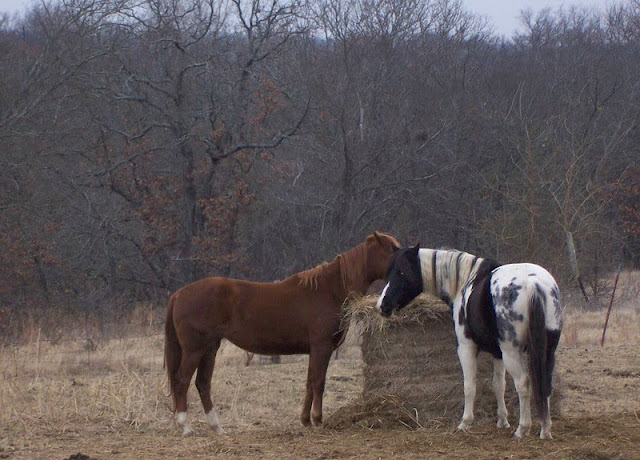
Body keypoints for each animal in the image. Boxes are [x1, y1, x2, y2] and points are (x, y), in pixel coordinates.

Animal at [164, 232, 400, 436]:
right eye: (392, 249)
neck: (329, 290)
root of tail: (179, 294)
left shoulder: (314, 350)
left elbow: (309, 381)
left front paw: (306, 420)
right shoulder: (321, 347)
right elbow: (319, 382)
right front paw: (318, 420)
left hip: (210, 348)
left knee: (203, 383)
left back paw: (217, 427)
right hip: (195, 349)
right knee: (182, 380)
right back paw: (186, 427)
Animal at [378, 246, 564, 440]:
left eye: (401, 272)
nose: (383, 305)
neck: (465, 281)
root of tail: (533, 283)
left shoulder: (466, 348)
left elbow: (469, 386)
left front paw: (465, 422)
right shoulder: (497, 353)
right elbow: (499, 385)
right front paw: (502, 421)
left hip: (512, 352)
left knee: (523, 383)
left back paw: (522, 428)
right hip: (547, 351)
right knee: (545, 384)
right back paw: (545, 430)